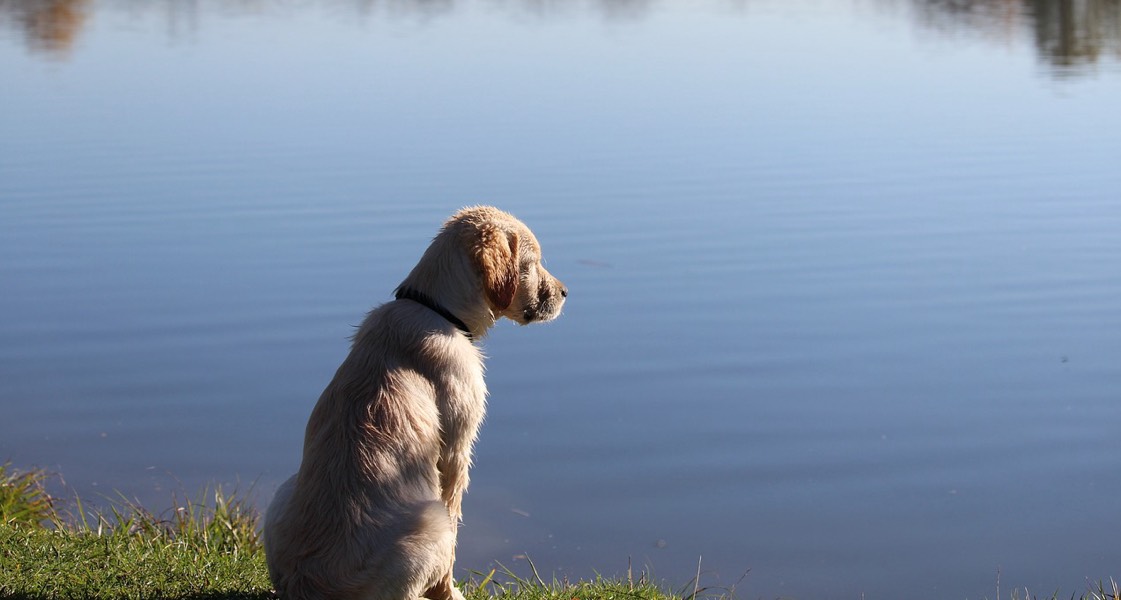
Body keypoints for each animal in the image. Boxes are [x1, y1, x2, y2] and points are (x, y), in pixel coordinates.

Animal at [263, 206, 569, 600]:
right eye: (531, 264)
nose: (565, 293)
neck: (437, 310)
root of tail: (307, 586)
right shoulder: (455, 451)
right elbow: (455, 526)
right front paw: (450, 593)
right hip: (430, 521)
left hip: (282, 494)